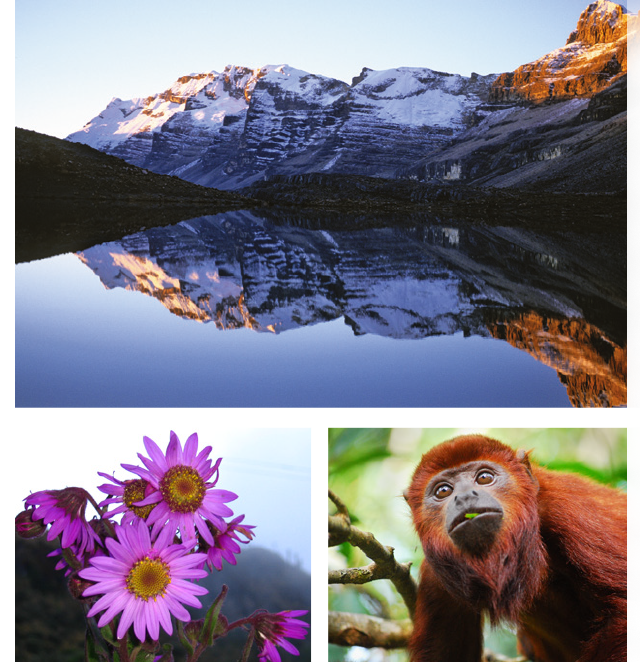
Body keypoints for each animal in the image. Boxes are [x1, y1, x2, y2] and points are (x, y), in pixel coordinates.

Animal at [404, 436, 640, 662]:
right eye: (443, 490)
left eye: (484, 478)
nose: (464, 496)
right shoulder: (436, 576)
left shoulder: (568, 511)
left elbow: (630, 605)